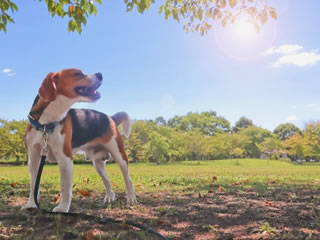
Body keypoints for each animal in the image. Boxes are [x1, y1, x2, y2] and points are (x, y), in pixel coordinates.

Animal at [21, 68, 136, 213]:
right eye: (77, 74)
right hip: (97, 163)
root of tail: (110, 118)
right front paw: (31, 204)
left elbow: (65, 188)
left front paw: (63, 208)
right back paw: (110, 197)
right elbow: (33, 186)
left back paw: (131, 198)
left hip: (120, 155)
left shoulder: (65, 159)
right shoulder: (34, 159)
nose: (100, 74)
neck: (46, 123)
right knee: (107, 180)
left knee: (128, 178)